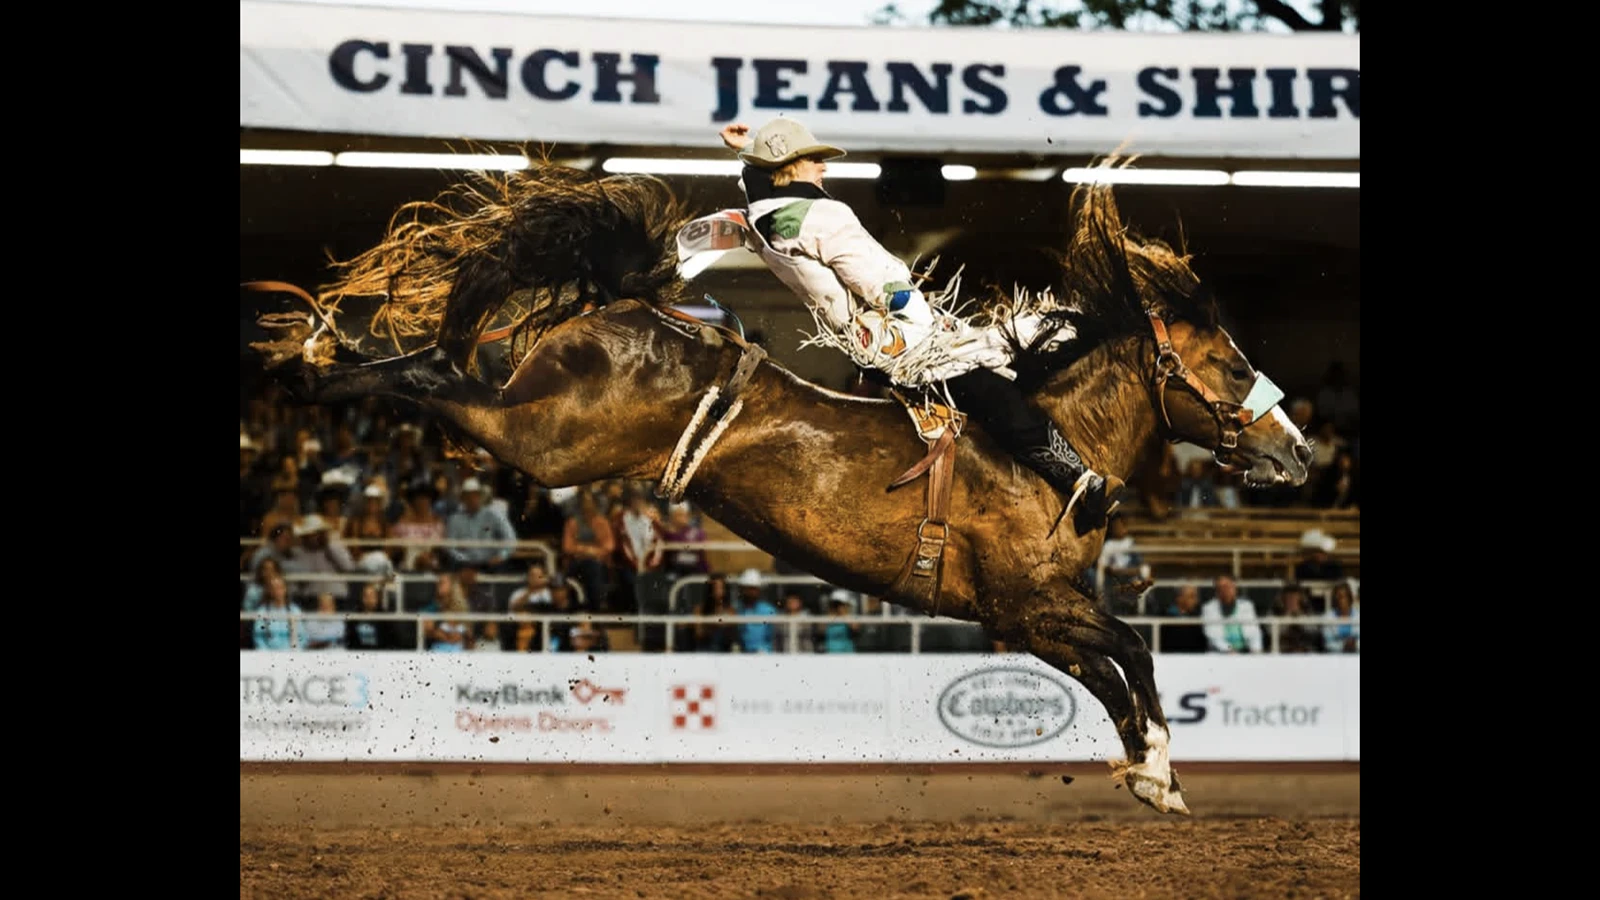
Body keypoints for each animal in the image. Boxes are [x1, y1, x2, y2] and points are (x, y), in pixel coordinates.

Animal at [244, 162, 1312, 815]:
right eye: (1226, 361)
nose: (1299, 454)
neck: (1054, 453)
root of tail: (625, 305)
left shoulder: (1022, 618)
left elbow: (1109, 670)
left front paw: (1148, 775)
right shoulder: (1031, 603)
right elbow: (1133, 647)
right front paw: (1160, 768)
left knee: (439, 365)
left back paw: (312, 353)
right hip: (544, 441)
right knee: (438, 376)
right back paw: (307, 368)